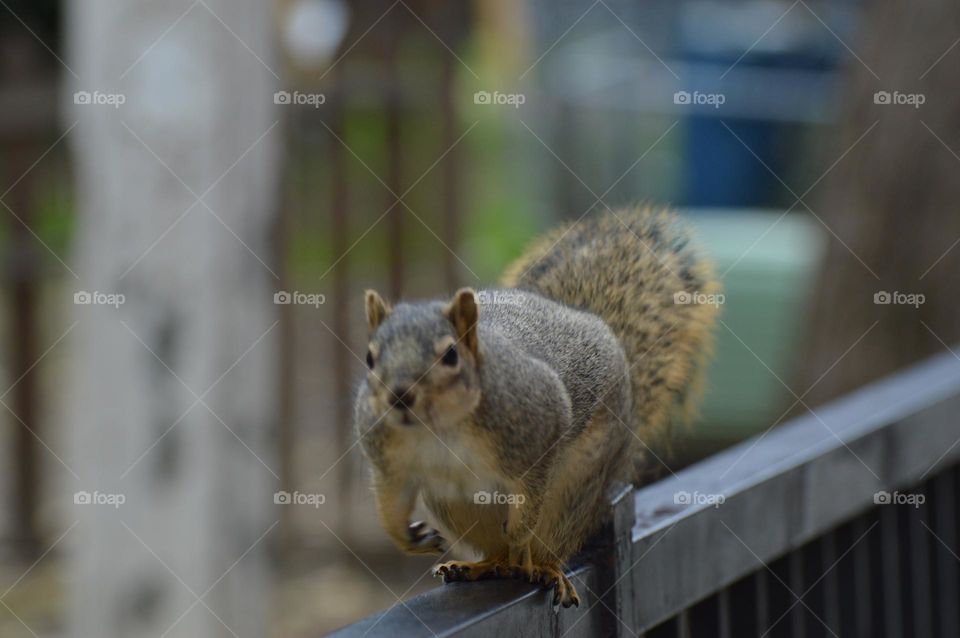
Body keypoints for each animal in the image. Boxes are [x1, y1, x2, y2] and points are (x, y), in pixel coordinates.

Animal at [354, 206, 720, 608]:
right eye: (370, 358)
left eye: (450, 355)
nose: (399, 396)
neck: (439, 427)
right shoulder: (387, 454)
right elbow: (391, 498)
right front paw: (408, 537)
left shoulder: (540, 427)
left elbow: (530, 494)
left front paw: (519, 535)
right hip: (453, 500)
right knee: (493, 551)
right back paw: (481, 565)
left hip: (579, 485)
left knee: (553, 536)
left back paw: (540, 565)